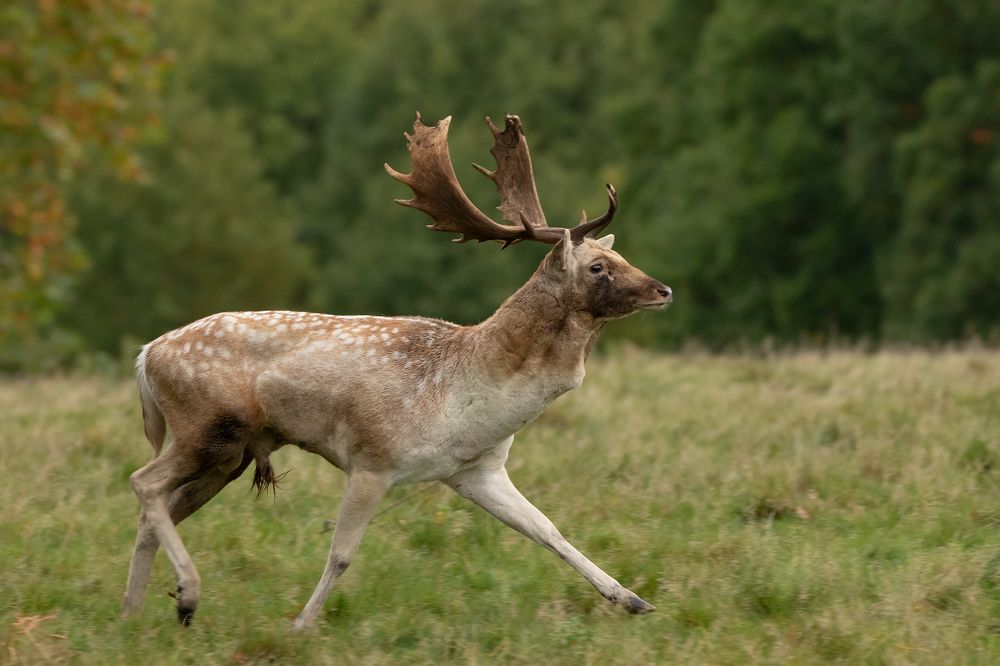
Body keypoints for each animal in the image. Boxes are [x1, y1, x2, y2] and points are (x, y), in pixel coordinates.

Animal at [122, 113, 672, 629]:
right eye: (598, 268)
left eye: (621, 255)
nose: (663, 289)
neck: (461, 403)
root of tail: (147, 355)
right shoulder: (372, 459)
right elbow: (341, 554)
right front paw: (301, 625)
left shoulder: (477, 470)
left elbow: (549, 530)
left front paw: (633, 599)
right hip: (206, 426)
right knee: (143, 483)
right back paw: (186, 597)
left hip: (229, 454)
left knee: (156, 511)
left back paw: (135, 613)